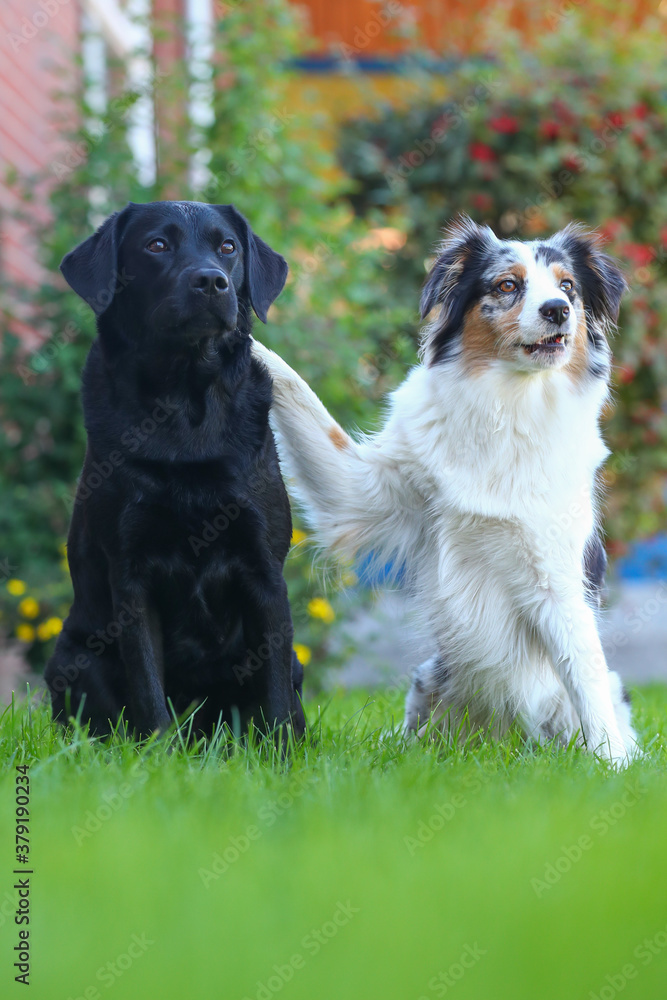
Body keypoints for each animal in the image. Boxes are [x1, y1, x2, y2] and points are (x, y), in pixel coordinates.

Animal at [45, 199, 306, 740]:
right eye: (157, 245)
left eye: (227, 246)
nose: (210, 281)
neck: (186, 403)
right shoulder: (130, 575)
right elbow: (147, 686)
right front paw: (158, 753)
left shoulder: (264, 570)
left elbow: (274, 697)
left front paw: (282, 753)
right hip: (71, 657)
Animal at [253, 219, 640, 764]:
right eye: (507, 284)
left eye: (568, 286)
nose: (557, 310)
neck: (509, 404)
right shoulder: (363, 492)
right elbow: (302, 398)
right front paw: (248, 341)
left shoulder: (558, 577)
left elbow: (585, 677)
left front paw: (610, 766)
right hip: (430, 681)